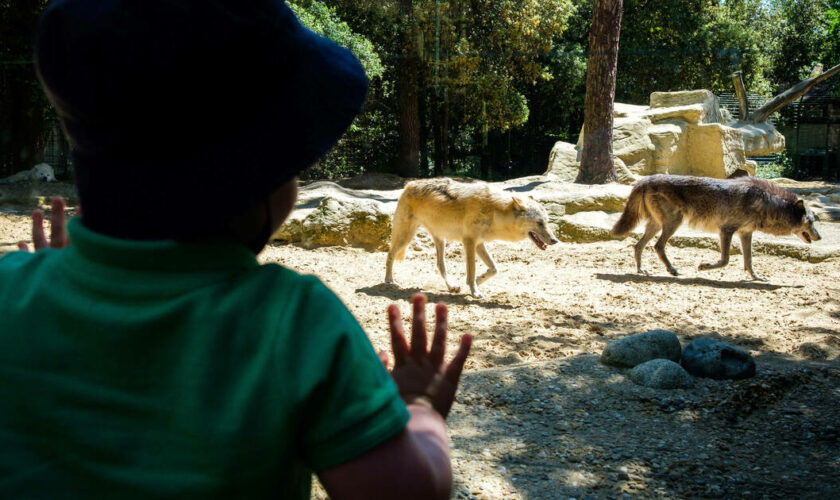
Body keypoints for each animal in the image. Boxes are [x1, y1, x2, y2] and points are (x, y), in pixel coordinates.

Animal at [386, 179, 556, 296]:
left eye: (546, 222)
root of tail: (408, 185)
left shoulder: (479, 244)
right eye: (539, 223)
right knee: (390, 254)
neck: (495, 211)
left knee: (440, 265)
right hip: (406, 237)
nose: (555, 240)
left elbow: (494, 269)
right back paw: (389, 281)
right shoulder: (469, 242)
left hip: (440, 240)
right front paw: (475, 292)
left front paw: (478, 281)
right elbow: (472, 270)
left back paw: (452, 286)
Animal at [612, 174, 820, 280]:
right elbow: (725, 260)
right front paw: (703, 266)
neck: (765, 202)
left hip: (657, 225)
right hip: (673, 223)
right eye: (811, 222)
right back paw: (672, 270)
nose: (819, 237)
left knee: (638, 245)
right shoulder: (726, 230)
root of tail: (644, 180)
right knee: (657, 246)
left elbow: (749, 261)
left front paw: (756, 278)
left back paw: (641, 271)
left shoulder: (745, 233)